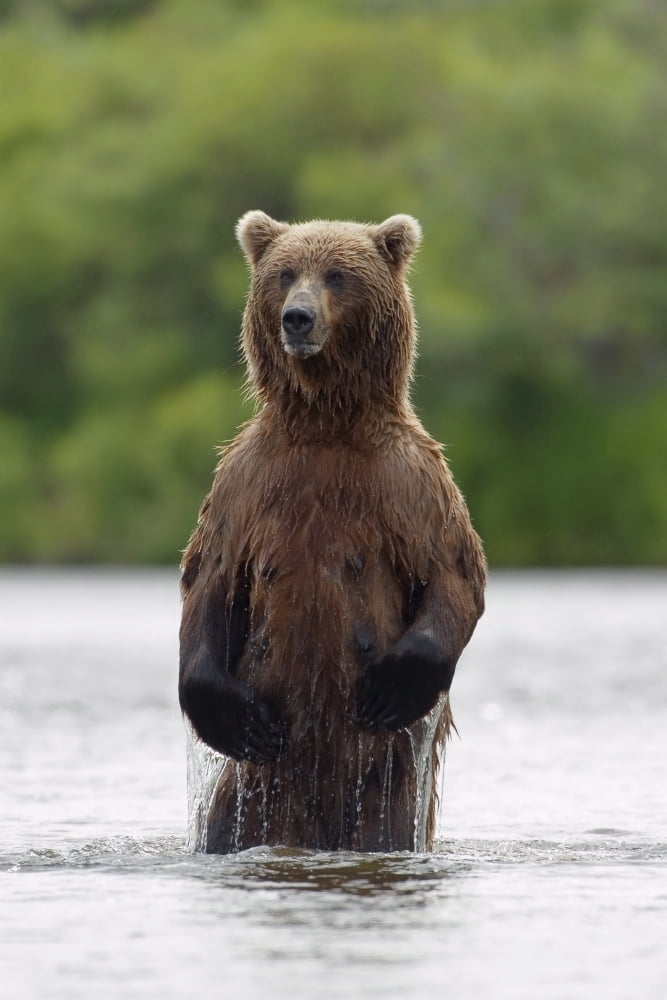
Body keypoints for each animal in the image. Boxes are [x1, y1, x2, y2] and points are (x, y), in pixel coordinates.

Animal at [179, 210, 486, 853]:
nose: (297, 317)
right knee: (227, 822)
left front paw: (396, 682)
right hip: (252, 792)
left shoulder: (412, 482)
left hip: (387, 786)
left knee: (385, 823)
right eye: (285, 272)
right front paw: (225, 713)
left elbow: (454, 574)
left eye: (338, 275)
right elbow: (210, 579)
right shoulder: (245, 483)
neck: (325, 422)